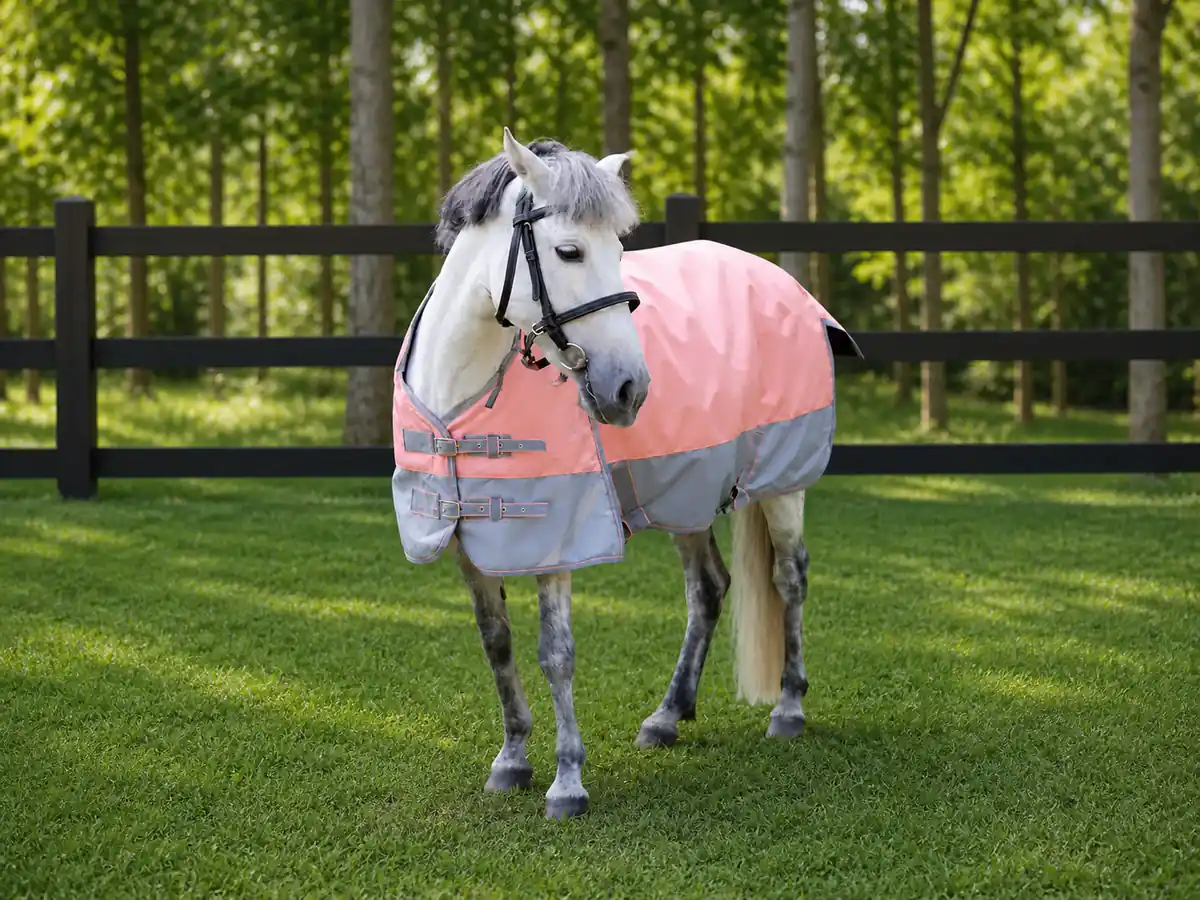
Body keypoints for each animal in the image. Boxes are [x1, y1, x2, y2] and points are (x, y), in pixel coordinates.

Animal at [391, 129, 860, 819]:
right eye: (569, 249)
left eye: (618, 248)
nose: (629, 389)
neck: (464, 397)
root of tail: (779, 279)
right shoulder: (467, 542)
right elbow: (496, 643)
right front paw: (511, 759)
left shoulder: (557, 537)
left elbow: (556, 654)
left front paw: (567, 782)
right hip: (690, 488)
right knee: (709, 589)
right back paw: (667, 717)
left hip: (782, 483)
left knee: (789, 578)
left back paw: (789, 708)